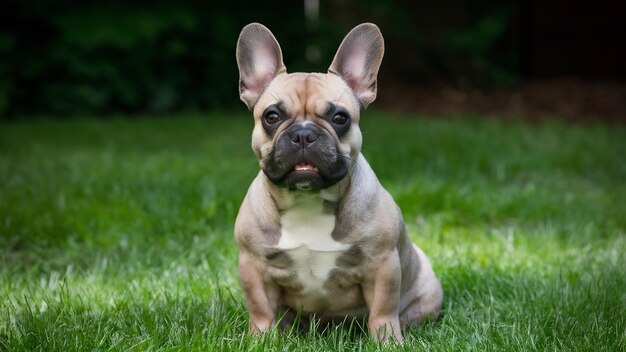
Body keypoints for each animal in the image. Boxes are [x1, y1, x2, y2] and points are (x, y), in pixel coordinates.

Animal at [234, 21, 444, 340]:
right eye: (271, 116)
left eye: (340, 118)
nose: (304, 134)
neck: (307, 201)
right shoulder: (253, 266)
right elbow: (260, 310)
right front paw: (260, 340)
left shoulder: (382, 265)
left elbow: (383, 310)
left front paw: (387, 341)